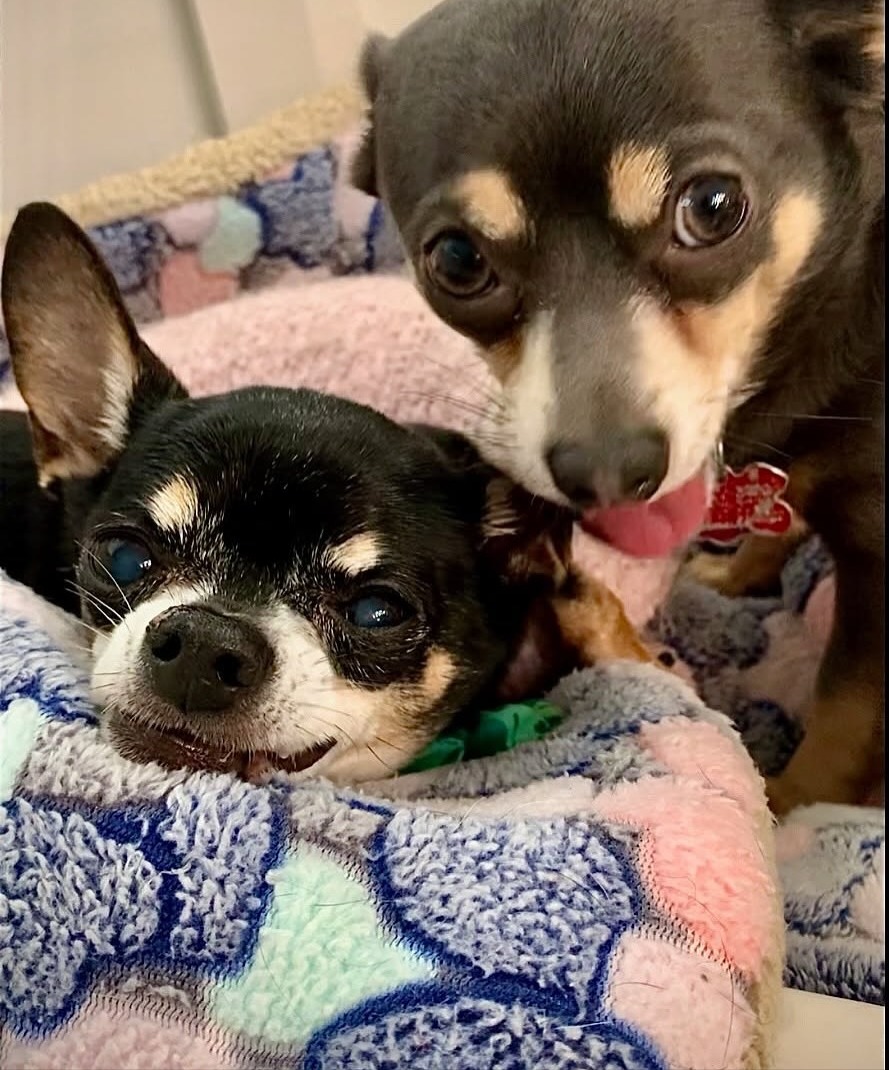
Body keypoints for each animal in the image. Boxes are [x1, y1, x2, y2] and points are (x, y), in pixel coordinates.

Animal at [350, 0, 885, 811]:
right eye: (456, 260)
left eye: (713, 206)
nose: (605, 473)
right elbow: (779, 509)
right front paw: (741, 569)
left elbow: (844, 719)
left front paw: (789, 809)